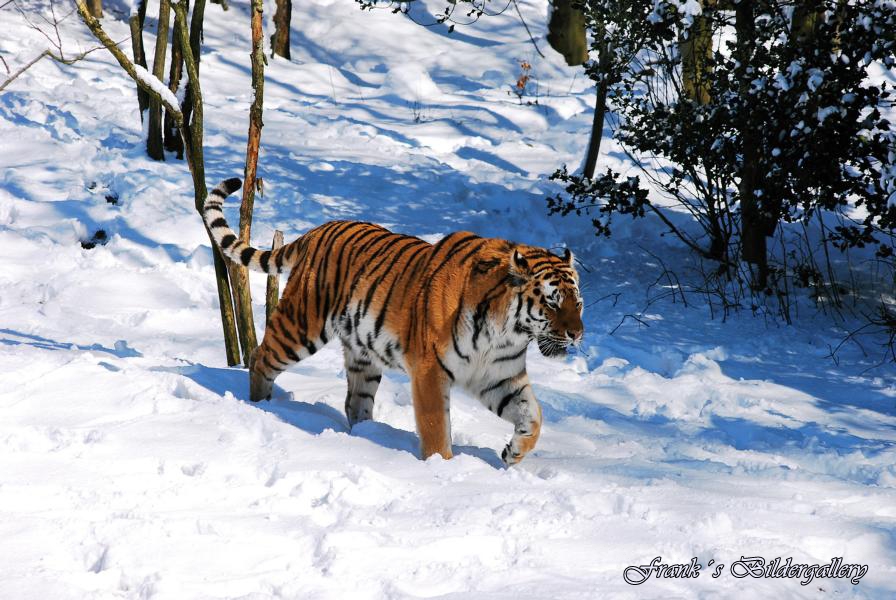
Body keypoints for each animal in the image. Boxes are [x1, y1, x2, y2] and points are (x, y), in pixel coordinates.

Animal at [201, 178, 588, 464]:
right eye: (553, 303)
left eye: (578, 303)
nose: (577, 334)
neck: (507, 331)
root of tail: (319, 230)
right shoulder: (430, 370)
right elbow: (435, 427)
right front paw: (442, 469)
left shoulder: (500, 375)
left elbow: (533, 416)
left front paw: (513, 454)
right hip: (301, 325)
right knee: (260, 357)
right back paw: (261, 406)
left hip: (362, 353)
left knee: (355, 402)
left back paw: (364, 437)